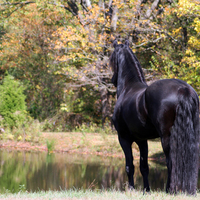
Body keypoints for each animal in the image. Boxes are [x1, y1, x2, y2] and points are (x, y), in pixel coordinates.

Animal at [110, 39, 199, 194]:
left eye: (111, 58)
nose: (112, 79)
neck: (128, 88)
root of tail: (184, 89)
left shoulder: (123, 138)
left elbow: (129, 166)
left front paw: (131, 189)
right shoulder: (142, 140)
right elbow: (144, 167)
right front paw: (146, 190)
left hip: (166, 137)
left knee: (171, 162)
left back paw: (169, 189)